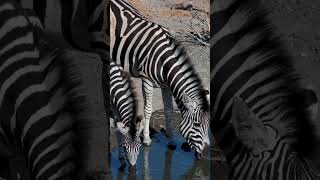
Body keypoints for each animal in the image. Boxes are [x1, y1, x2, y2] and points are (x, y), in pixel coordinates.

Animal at [110, 0, 210, 158]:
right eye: (197, 125)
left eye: (208, 125)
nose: (204, 154)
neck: (163, 60)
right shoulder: (146, 80)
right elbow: (148, 109)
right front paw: (146, 139)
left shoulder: (166, 85)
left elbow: (168, 110)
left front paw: (172, 141)